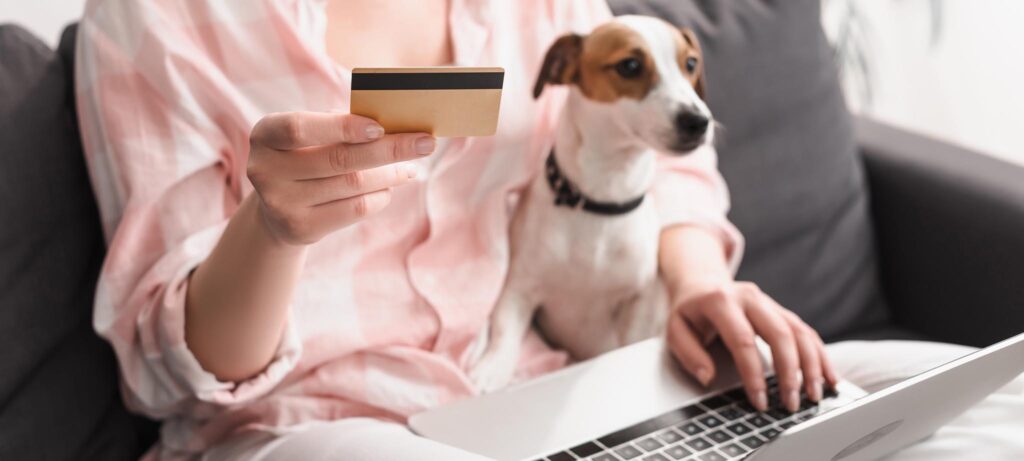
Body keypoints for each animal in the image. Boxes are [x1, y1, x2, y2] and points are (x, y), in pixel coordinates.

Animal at [468, 15, 712, 393]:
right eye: (630, 66)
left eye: (690, 64)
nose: (699, 121)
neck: (600, 200)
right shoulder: (519, 290)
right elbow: (505, 333)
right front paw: (492, 370)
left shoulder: (638, 301)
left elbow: (628, 342)